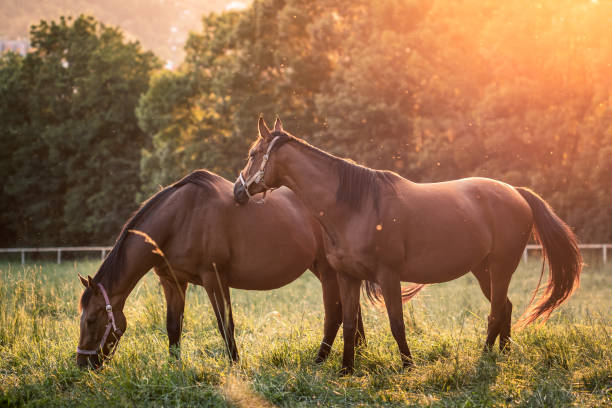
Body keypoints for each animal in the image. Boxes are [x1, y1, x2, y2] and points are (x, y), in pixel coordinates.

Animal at [75, 169, 364, 370]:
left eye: (91, 320)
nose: (83, 364)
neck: (179, 219)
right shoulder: (172, 282)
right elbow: (173, 326)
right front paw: (174, 366)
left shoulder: (214, 279)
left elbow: (225, 324)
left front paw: (235, 365)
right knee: (352, 310)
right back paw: (359, 353)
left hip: (328, 271)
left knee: (335, 315)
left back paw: (322, 361)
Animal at [233, 116, 584, 374]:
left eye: (252, 154)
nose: (238, 192)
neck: (356, 206)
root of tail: (515, 192)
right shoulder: (347, 277)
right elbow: (349, 324)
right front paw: (346, 371)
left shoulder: (388, 276)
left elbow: (396, 323)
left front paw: (408, 366)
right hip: (483, 270)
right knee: (506, 307)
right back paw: (504, 354)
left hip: (500, 268)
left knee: (496, 312)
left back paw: (485, 359)